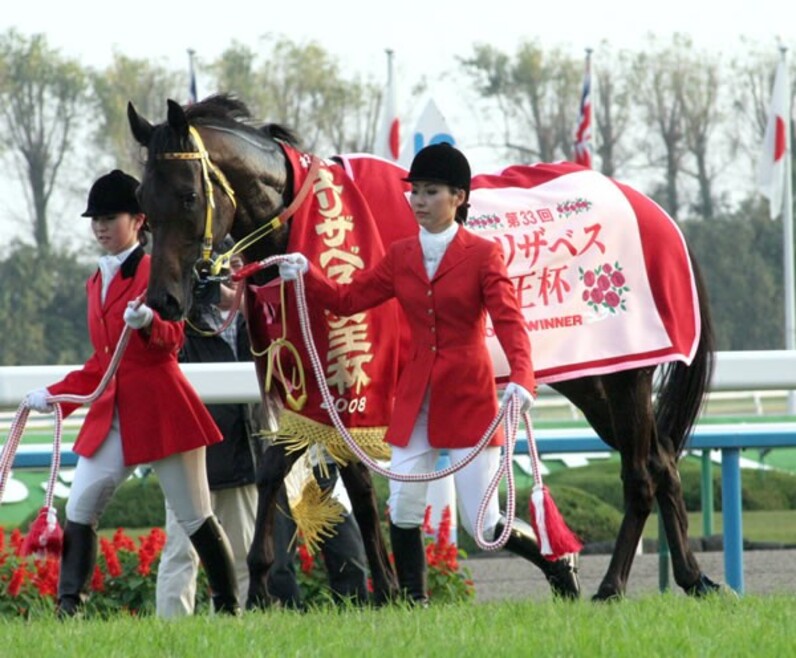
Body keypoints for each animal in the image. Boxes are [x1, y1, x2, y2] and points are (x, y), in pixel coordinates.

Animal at [126, 92, 720, 600]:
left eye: (188, 195)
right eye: (143, 201)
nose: (166, 300)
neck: (308, 224)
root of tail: (656, 213)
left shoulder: (359, 374)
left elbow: (340, 478)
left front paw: (378, 588)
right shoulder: (311, 380)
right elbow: (296, 469)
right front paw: (270, 584)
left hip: (627, 372)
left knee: (641, 471)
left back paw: (614, 584)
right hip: (592, 377)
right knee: (662, 460)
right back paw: (691, 577)